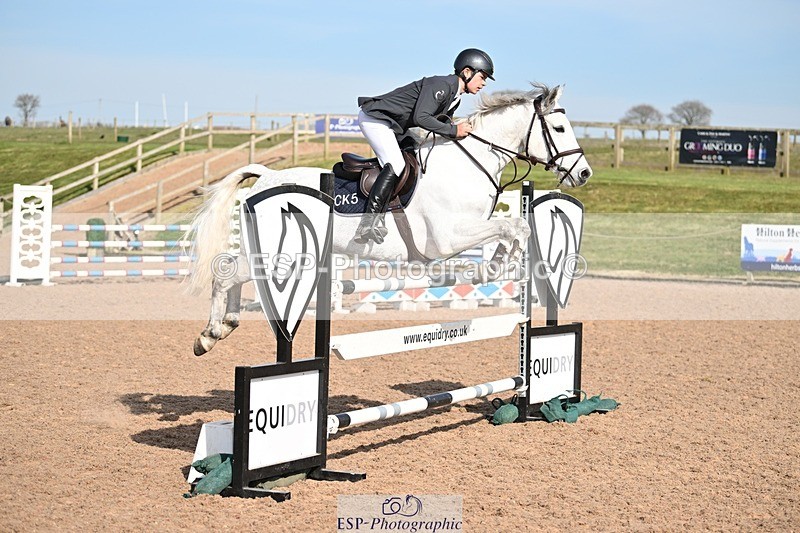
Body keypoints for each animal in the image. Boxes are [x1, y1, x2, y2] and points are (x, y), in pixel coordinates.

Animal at [185, 83, 592, 355]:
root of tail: (268, 175)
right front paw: (497, 265)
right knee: (228, 272)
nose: (584, 173)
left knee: (235, 270)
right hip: (278, 255)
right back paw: (208, 335)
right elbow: (511, 226)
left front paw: (496, 265)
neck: (469, 163)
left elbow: (515, 228)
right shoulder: (446, 238)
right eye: (559, 129)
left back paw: (228, 324)